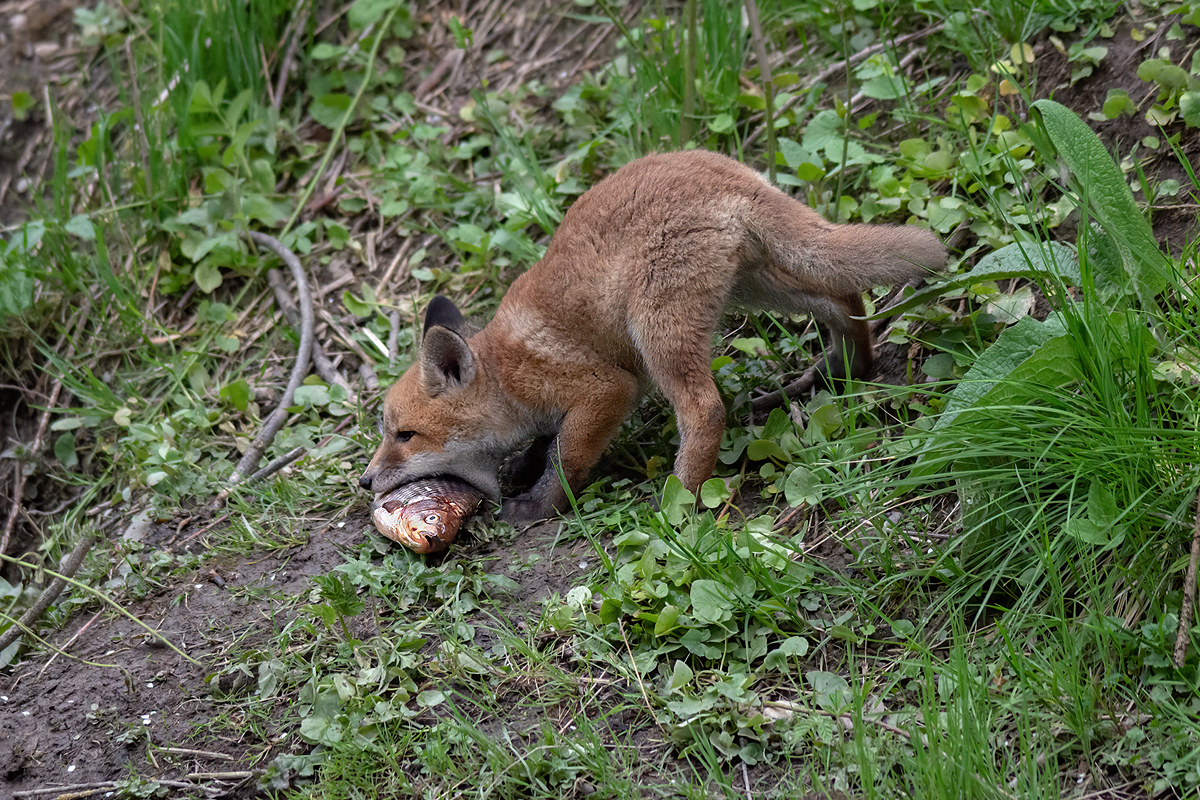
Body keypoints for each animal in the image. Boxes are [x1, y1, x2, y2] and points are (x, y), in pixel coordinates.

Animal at [355, 149, 945, 525]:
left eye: (404, 436)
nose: (365, 481)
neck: (505, 373)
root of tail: (727, 173)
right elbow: (548, 442)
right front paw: (525, 468)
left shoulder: (607, 387)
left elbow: (567, 455)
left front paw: (542, 504)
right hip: (760, 284)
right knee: (845, 299)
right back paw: (841, 372)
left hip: (660, 329)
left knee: (705, 410)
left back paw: (680, 501)